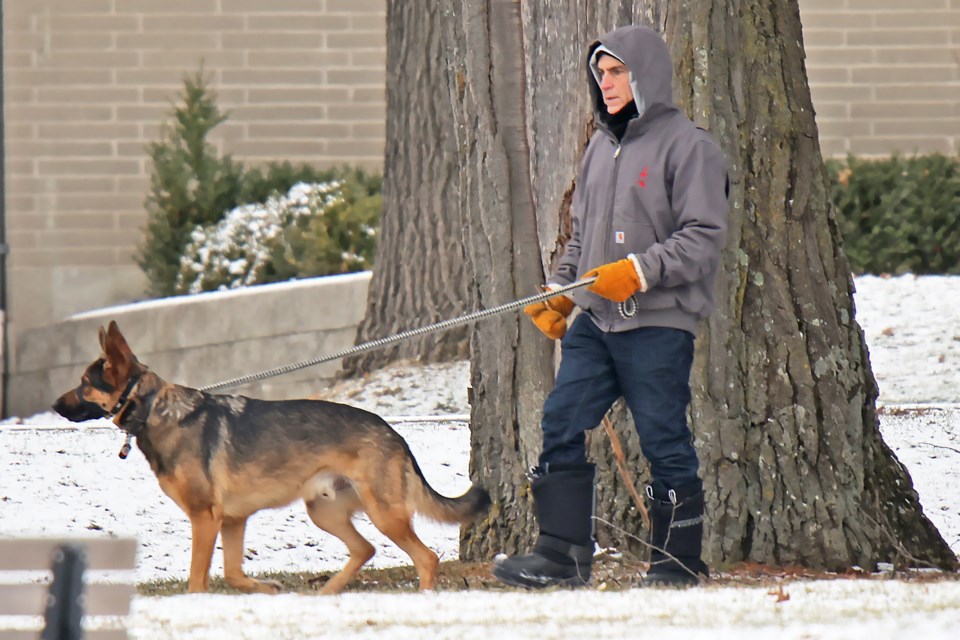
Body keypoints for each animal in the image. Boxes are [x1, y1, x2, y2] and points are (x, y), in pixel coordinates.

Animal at [51, 322, 488, 592]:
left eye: (84, 383)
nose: (54, 406)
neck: (154, 408)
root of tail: (393, 431)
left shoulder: (205, 519)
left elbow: (197, 580)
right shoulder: (231, 521)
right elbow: (231, 573)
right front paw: (270, 589)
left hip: (383, 513)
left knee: (426, 558)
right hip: (324, 510)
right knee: (365, 550)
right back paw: (325, 595)